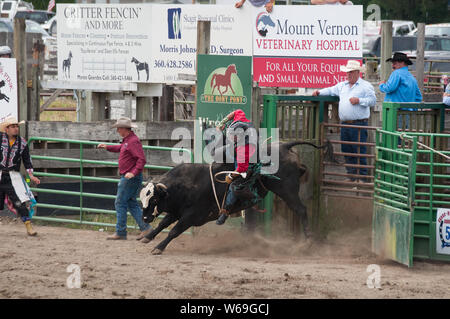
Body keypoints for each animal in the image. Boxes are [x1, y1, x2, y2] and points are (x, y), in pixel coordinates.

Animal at [140, 140, 334, 255]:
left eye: (154, 199)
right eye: (142, 199)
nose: (145, 218)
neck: (187, 185)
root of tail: (284, 146)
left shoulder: (192, 216)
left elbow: (174, 230)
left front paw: (158, 248)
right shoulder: (176, 210)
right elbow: (163, 224)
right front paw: (147, 237)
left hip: (287, 189)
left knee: (301, 210)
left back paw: (307, 241)